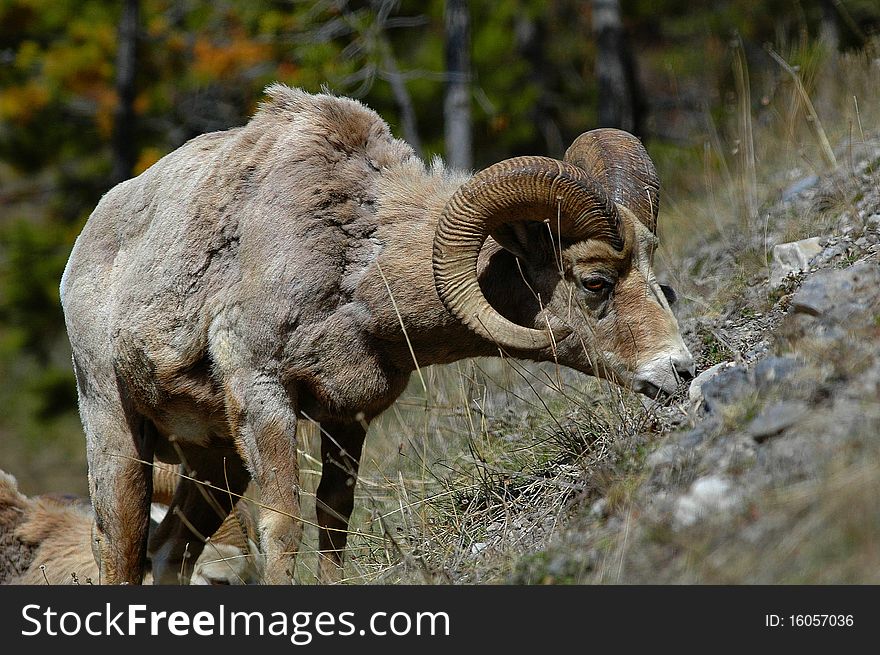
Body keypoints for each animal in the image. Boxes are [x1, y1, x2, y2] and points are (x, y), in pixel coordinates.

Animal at [62, 83, 696, 584]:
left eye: (651, 268)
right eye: (595, 281)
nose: (681, 370)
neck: (355, 264)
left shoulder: (348, 417)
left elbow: (334, 518)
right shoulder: (264, 394)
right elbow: (283, 526)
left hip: (215, 459)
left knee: (171, 549)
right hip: (119, 432)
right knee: (121, 547)